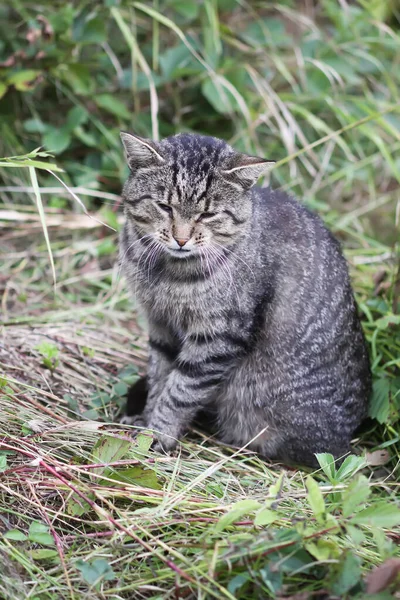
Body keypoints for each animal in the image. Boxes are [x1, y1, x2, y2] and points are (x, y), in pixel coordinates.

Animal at [119, 131, 372, 468]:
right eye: (164, 206)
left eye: (208, 214)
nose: (181, 239)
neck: (166, 271)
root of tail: (350, 435)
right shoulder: (159, 324)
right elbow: (159, 378)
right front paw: (146, 421)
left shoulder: (218, 337)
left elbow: (180, 391)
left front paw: (156, 435)